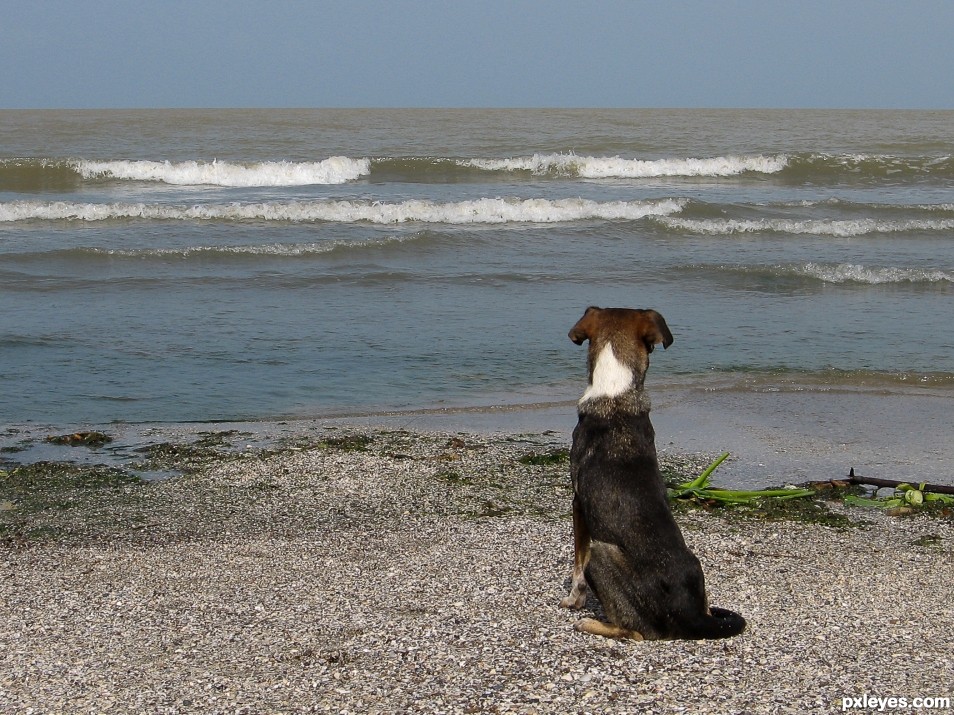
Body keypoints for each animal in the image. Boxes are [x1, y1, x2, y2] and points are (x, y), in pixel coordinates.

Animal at [556, 304, 744, 640]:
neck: (615, 392)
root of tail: (690, 615)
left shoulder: (578, 503)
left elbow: (577, 562)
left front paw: (573, 600)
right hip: (696, 564)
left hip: (602, 554)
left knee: (636, 632)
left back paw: (591, 623)